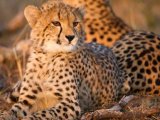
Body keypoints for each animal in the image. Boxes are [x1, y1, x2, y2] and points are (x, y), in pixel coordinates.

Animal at [0, 0, 130, 119]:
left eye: (75, 23)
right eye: (56, 23)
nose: (71, 37)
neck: (47, 57)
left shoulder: (71, 104)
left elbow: (43, 114)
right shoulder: (27, 99)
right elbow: (13, 110)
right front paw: (5, 115)